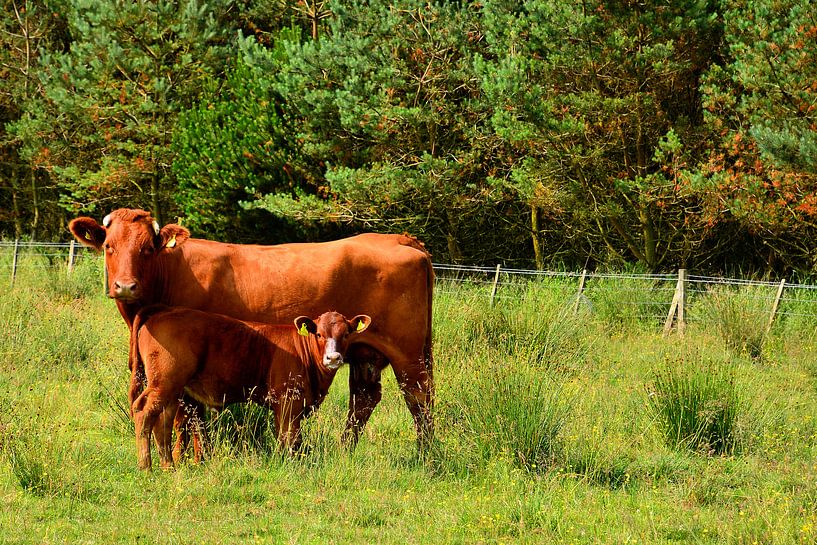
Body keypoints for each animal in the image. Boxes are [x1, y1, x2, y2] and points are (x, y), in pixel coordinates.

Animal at [70, 208, 434, 450]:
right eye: (109, 247)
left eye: (147, 249)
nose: (125, 286)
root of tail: (398, 239)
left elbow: (188, 416)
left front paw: (191, 459)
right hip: (365, 353)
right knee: (364, 399)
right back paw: (345, 451)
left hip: (408, 353)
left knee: (419, 397)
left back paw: (426, 456)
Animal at [129, 306, 372, 468]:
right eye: (319, 334)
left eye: (346, 334)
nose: (333, 358)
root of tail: (163, 312)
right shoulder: (288, 402)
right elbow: (290, 437)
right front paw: (290, 463)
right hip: (164, 382)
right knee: (143, 411)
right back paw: (146, 467)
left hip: (171, 388)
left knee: (163, 421)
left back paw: (168, 466)